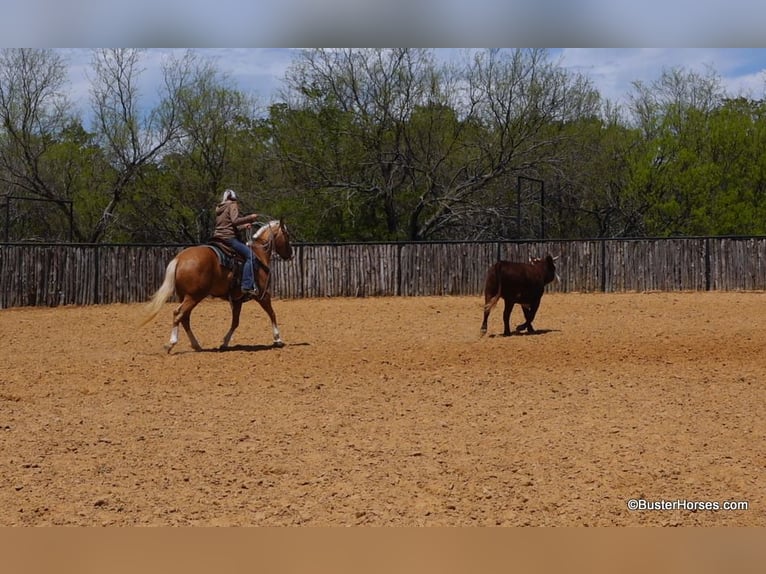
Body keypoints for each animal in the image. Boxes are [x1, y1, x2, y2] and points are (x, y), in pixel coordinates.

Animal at [141, 220, 294, 354]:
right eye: (287, 234)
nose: (291, 255)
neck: (258, 254)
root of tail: (179, 259)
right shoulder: (262, 295)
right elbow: (272, 314)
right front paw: (278, 339)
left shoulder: (237, 300)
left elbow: (235, 322)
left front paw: (225, 342)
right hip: (193, 297)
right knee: (178, 314)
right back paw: (171, 343)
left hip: (184, 296)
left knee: (185, 318)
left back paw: (196, 345)